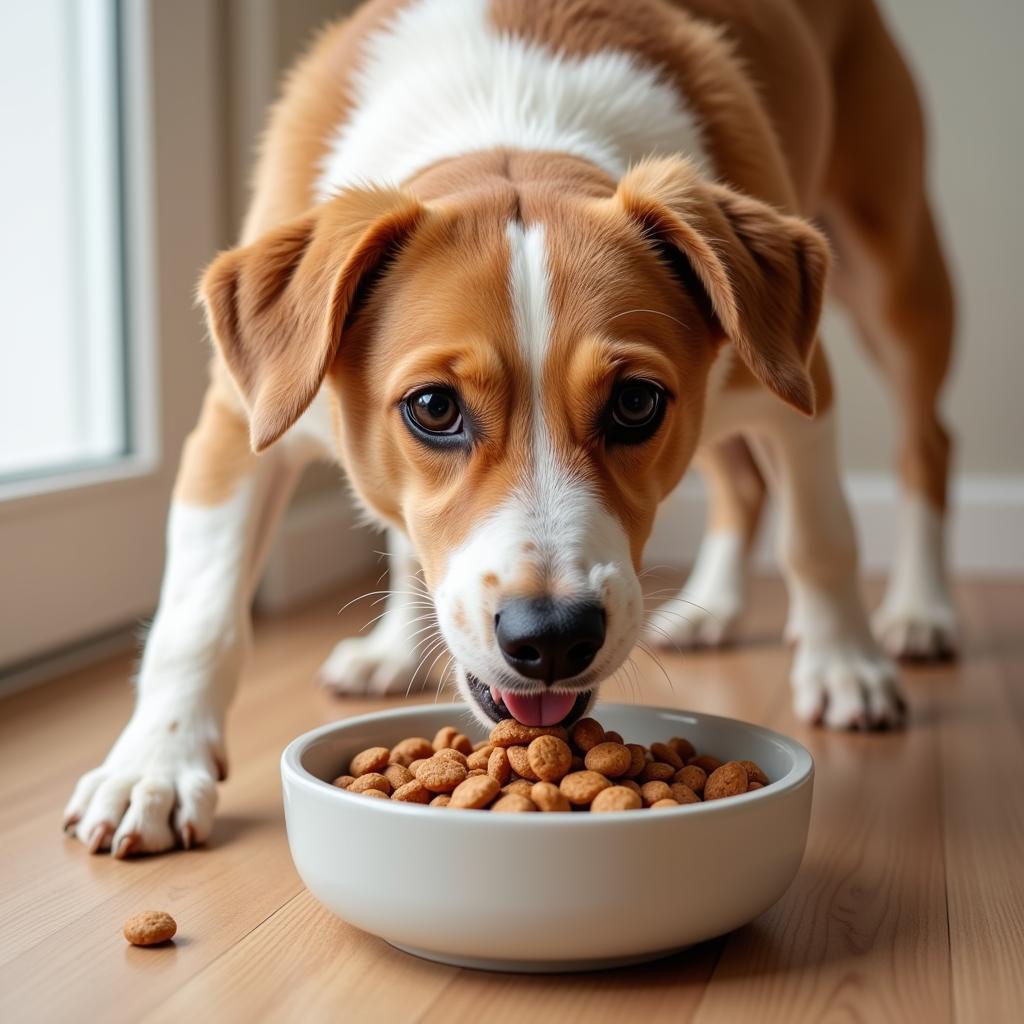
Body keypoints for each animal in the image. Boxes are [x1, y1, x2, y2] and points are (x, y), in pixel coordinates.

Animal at [68, 0, 954, 856]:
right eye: (433, 408)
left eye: (636, 403)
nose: (553, 638)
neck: (511, 118)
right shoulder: (241, 419)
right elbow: (198, 614)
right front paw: (154, 767)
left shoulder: (796, 389)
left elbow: (822, 538)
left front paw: (846, 666)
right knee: (738, 482)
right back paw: (702, 610)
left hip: (893, 269)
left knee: (924, 445)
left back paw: (918, 612)